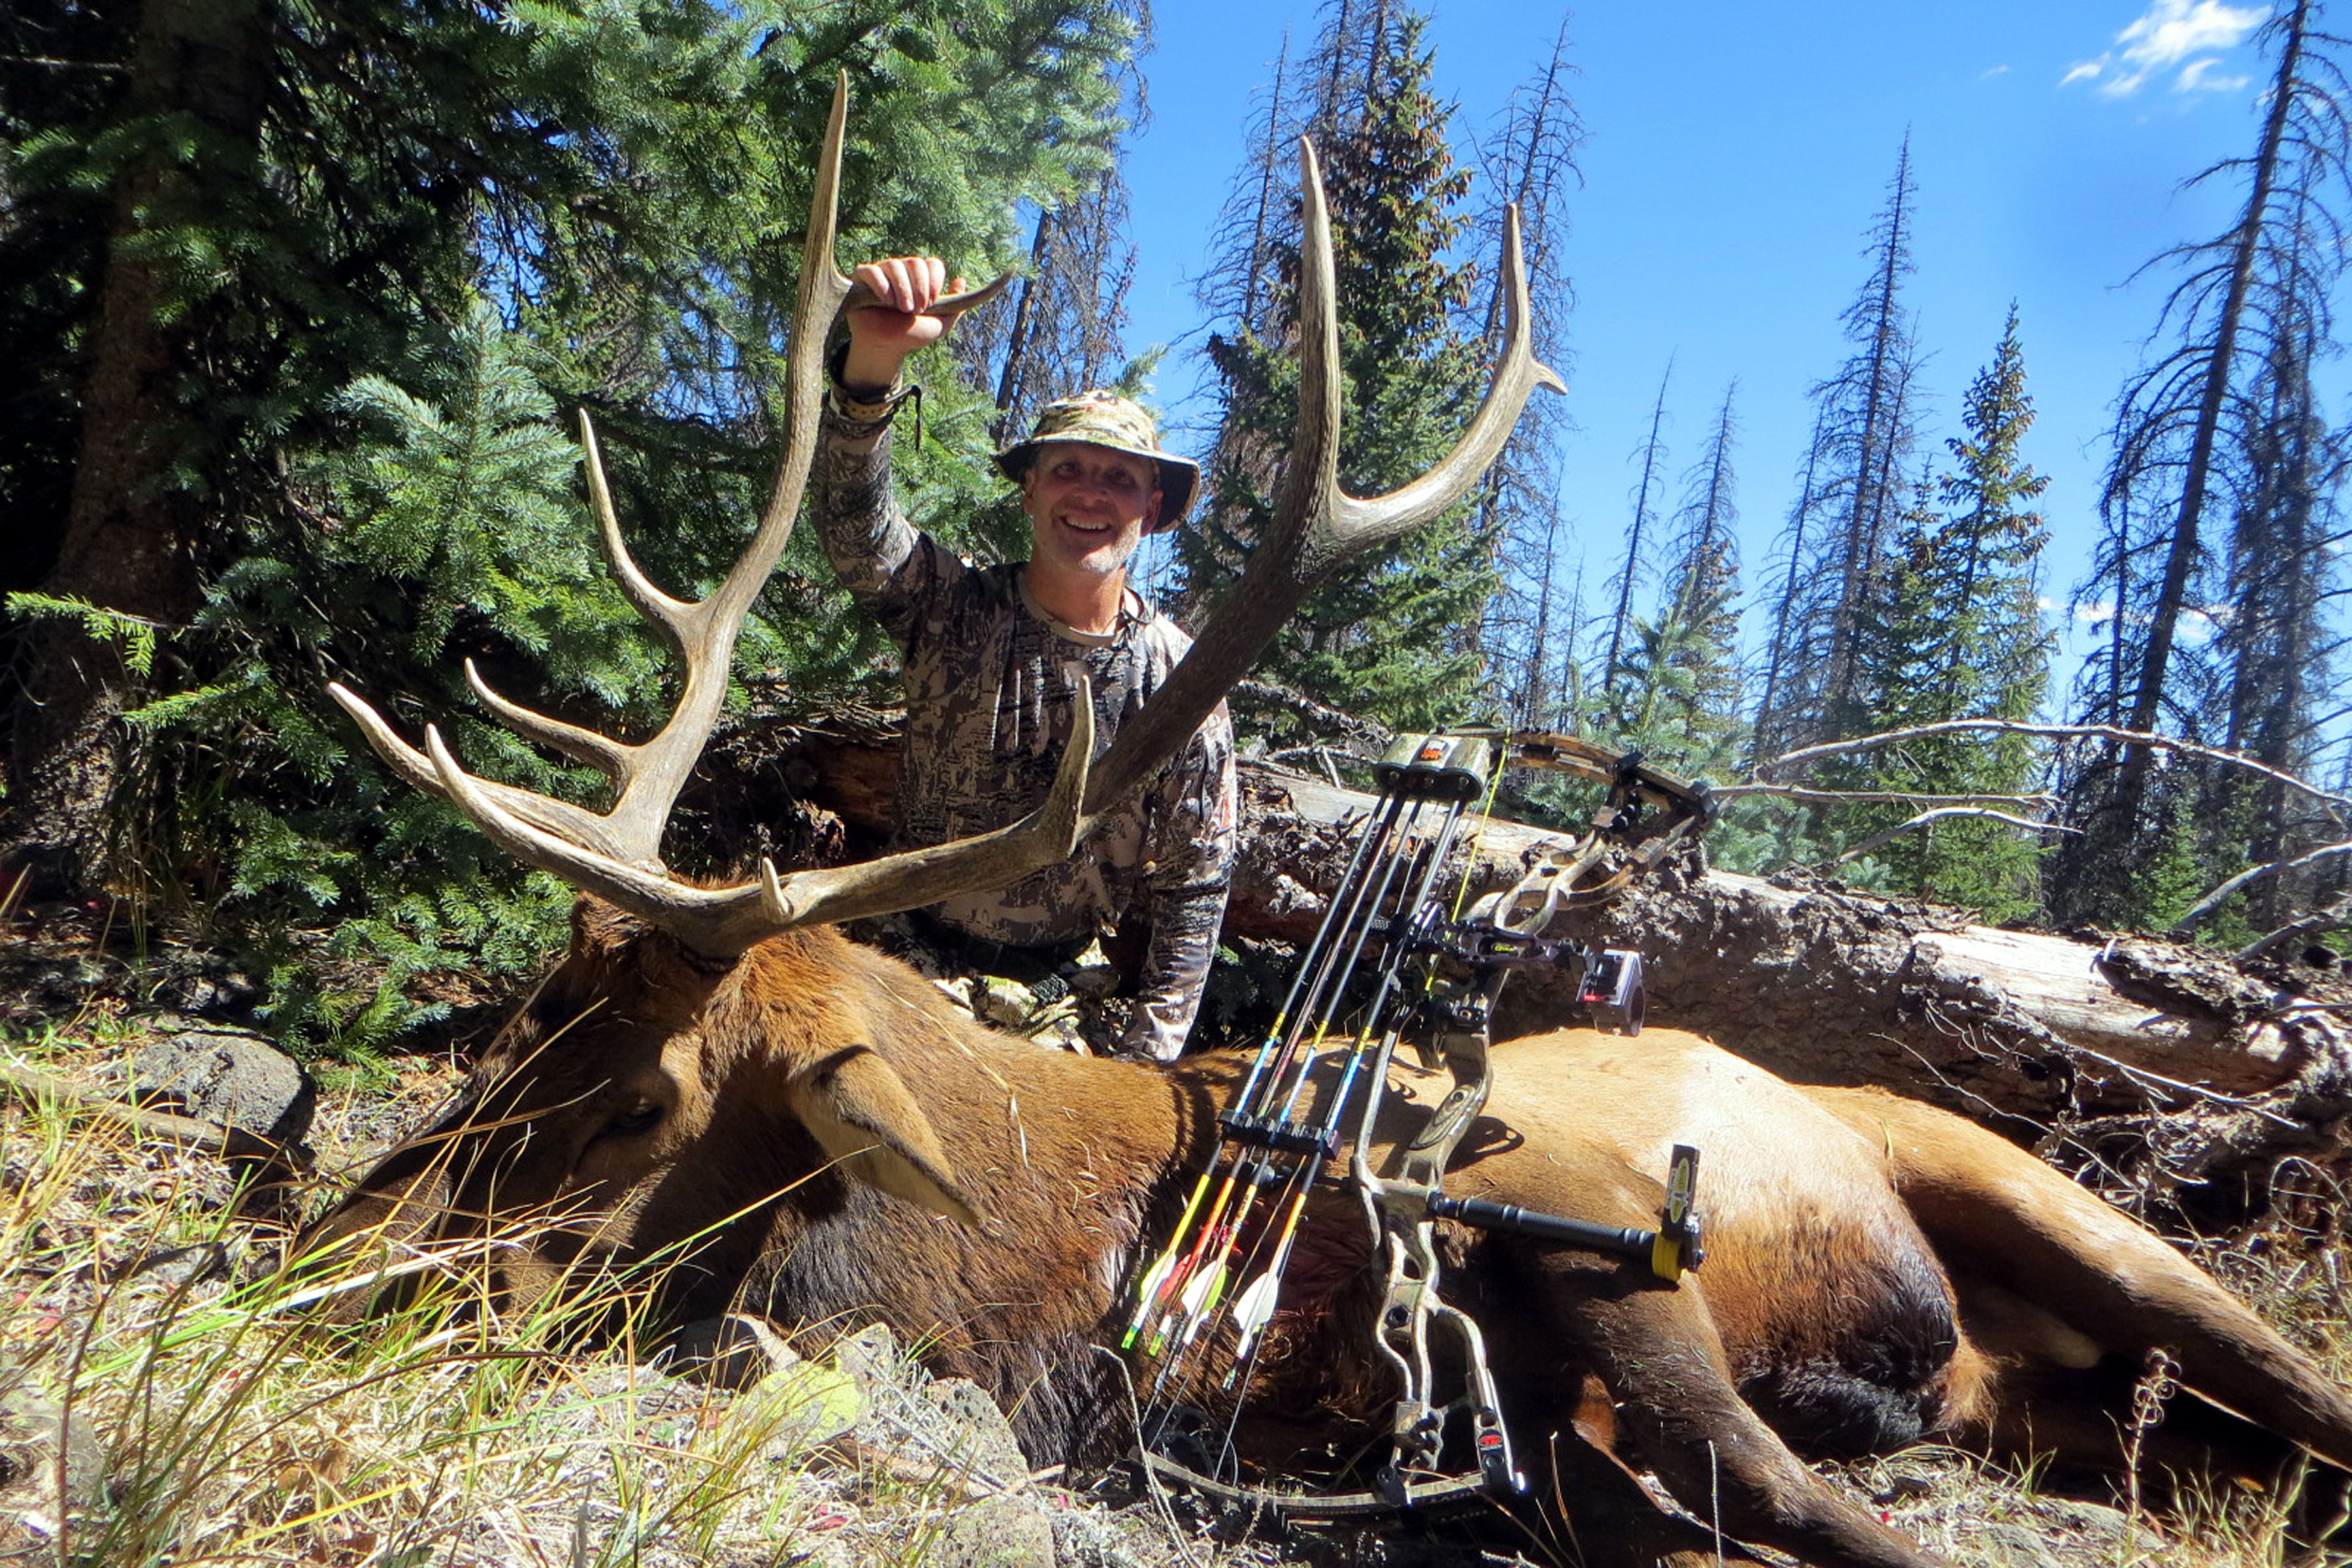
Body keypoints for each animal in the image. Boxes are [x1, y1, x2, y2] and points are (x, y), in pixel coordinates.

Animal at [308, 80, 2352, 1568]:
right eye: (509, 1028)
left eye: (640, 1099)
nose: (326, 1253)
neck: (1052, 1269)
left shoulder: (1577, 1207)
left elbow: (1785, 1493)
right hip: (2057, 1385)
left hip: (2056, 1200)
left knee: (2281, 1381)